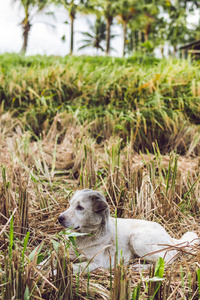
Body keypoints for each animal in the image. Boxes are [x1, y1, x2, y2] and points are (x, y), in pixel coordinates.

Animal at [57, 191, 198, 274]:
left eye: (80, 207)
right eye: (70, 205)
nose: (59, 218)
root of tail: (169, 236)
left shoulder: (96, 264)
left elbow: (73, 267)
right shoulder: (67, 253)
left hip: (137, 239)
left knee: (166, 259)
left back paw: (140, 267)